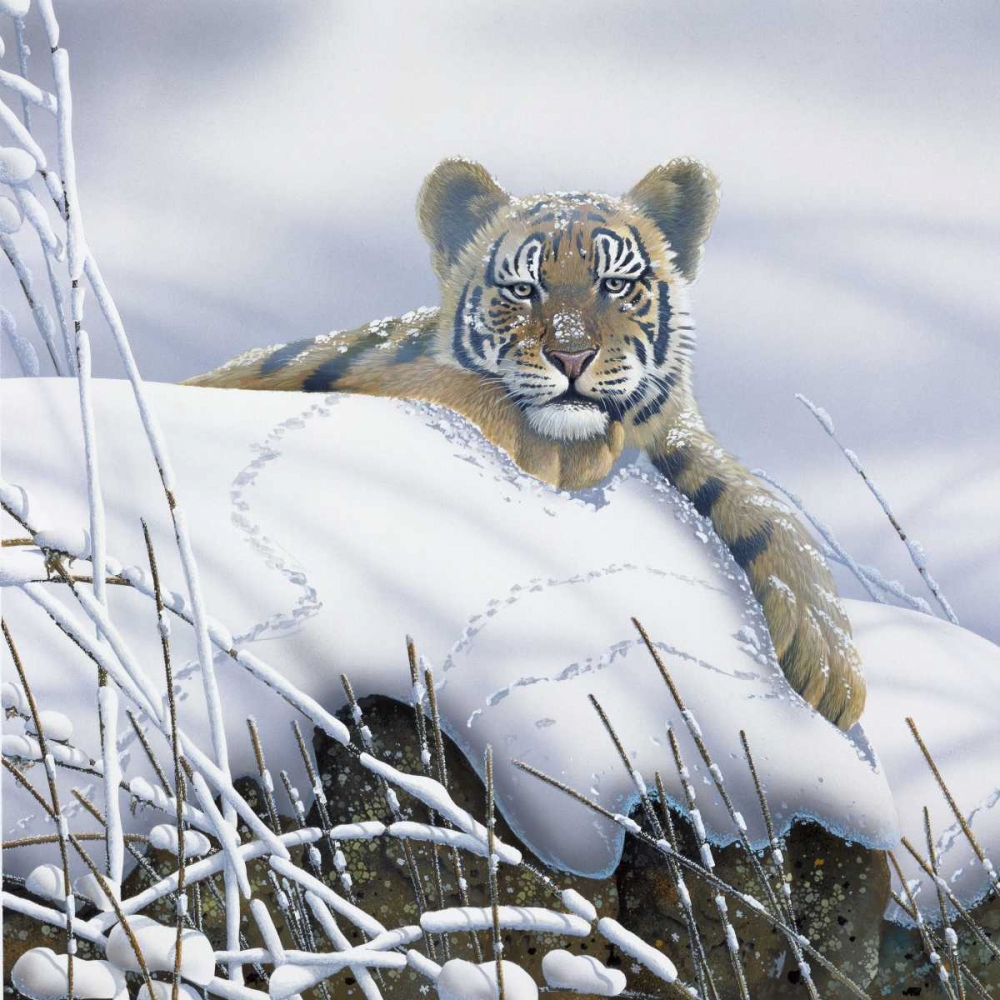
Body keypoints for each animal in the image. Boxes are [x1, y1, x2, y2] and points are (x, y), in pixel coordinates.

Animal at [186, 157, 865, 730]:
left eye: (614, 284)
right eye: (522, 289)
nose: (571, 356)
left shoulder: (675, 425)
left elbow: (768, 511)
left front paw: (832, 667)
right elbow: (457, 388)